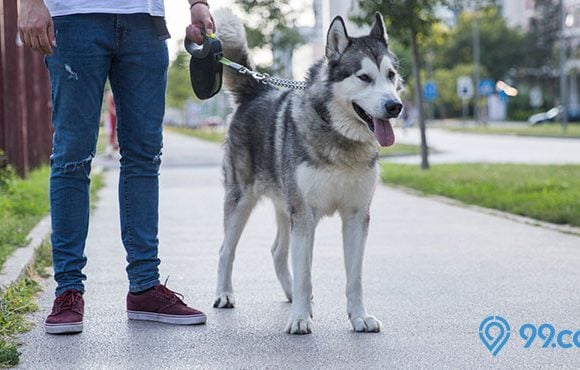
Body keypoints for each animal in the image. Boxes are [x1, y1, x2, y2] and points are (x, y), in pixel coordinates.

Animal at [214, 8, 404, 334]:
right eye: (364, 77)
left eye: (390, 75)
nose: (395, 106)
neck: (340, 141)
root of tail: (257, 89)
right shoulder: (304, 215)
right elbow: (305, 272)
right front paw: (300, 319)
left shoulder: (356, 215)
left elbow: (354, 277)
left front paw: (359, 316)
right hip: (242, 201)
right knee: (226, 249)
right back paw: (225, 294)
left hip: (284, 204)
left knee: (277, 251)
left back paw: (290, 294)